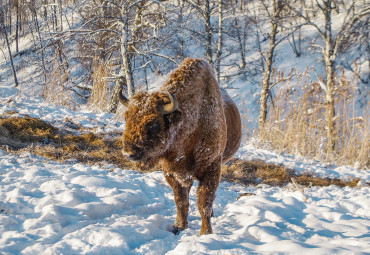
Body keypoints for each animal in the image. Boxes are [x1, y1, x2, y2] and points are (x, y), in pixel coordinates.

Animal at [117, 57, 241, 235]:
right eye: (127, 117)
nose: (129, 153)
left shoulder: (211, 169)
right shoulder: (172, 173)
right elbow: (181, 200)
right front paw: (178, 226)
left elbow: (204, 202)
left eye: (153, 123)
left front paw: (206, 232)